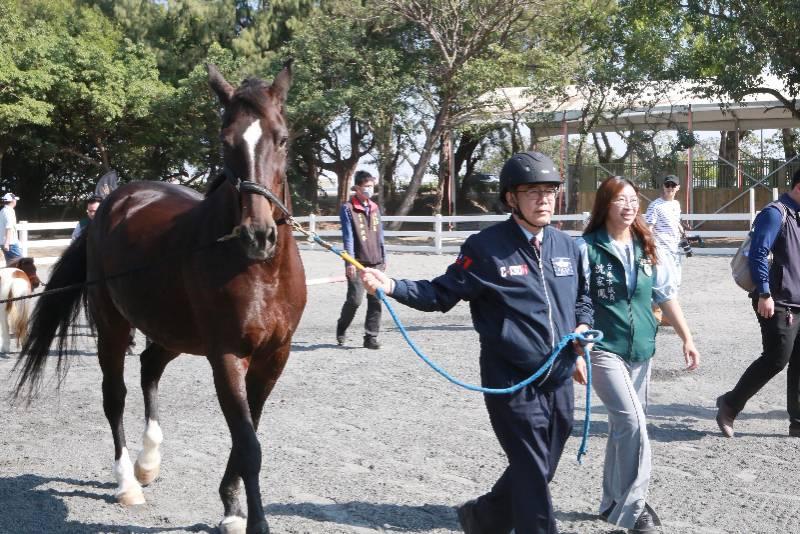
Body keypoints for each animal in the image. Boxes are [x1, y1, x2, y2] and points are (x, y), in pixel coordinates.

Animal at [12, 60, 306, 532]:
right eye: (225, 141)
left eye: (282, 138)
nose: (257, 235)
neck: (262, 273)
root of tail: (114, 201)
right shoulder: (227, 357)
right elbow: (248, 446)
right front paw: (247, 519)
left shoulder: (274, 357)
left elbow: (249, 435)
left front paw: (231, 507)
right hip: (114, 326)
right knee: (114, 397)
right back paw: (128, 483)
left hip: (172, 332)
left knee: (149, 367)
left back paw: (148, 463)